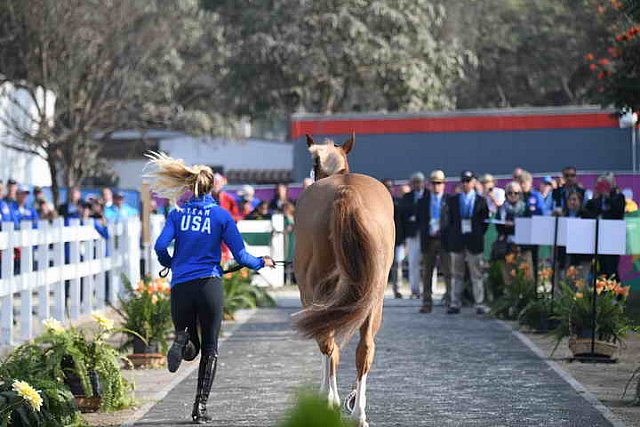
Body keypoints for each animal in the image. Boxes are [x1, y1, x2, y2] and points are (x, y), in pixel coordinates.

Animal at [292, 134, 396, 427]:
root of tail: (346, 192)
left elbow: (328, 347)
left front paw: (327, 396)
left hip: (316, 291)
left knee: (327, 342)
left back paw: (331, 401)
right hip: (373, 297)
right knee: (365, 349)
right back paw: (358, 412)